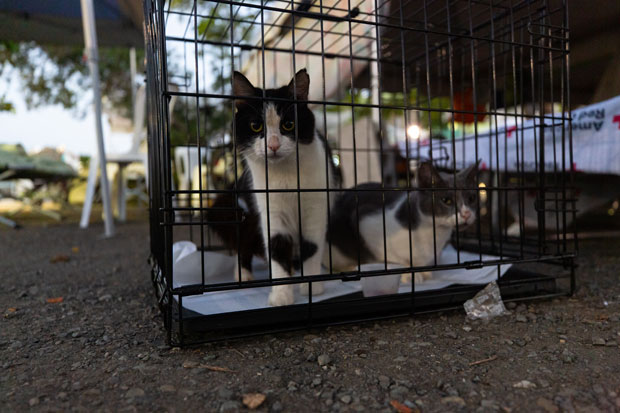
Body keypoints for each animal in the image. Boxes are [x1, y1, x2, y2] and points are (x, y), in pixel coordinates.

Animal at [231, 68, 340, 306]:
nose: (273, 145)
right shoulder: (270, 209)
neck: (286, 176)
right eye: (256, 125)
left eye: (288, 124)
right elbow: (277, 248)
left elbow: (312, 245)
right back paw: (244, 275)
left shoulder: (316, 207)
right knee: (244, 242)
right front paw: (281, 294)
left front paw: (311, 285)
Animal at [324, 161, 480, 284]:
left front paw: (424, 272)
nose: (467, 213)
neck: (433, 233)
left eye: (471, 198)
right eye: (446, 200)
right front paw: (409, 275)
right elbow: (395, 259)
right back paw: (351, 268)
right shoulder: (365, 222)